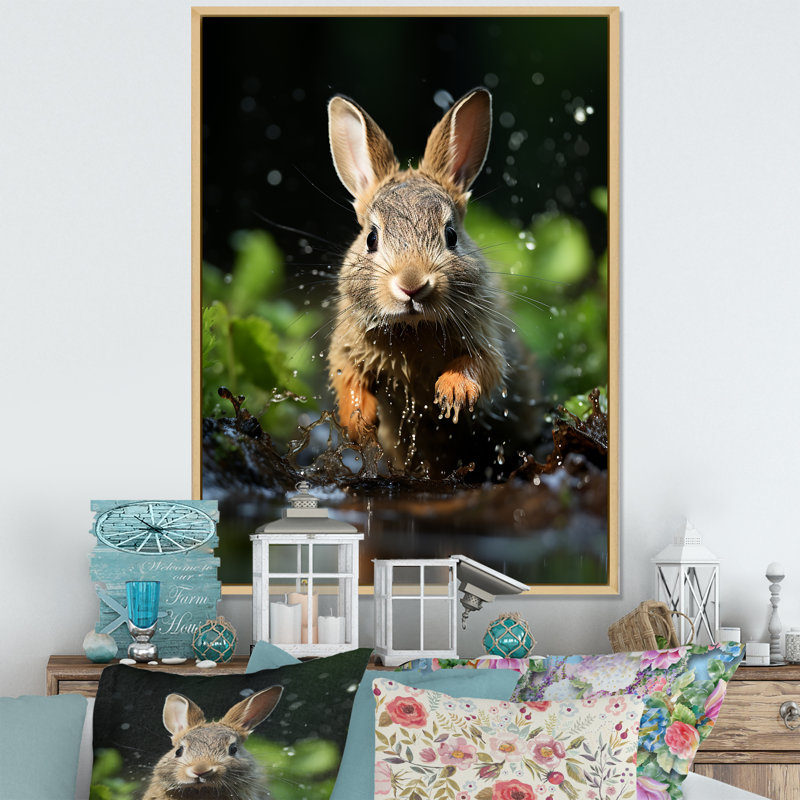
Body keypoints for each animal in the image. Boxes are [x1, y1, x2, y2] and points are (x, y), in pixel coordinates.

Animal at [327, 88, 542, 478]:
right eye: (371, 239)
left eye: (451, 235)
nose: (411, 285)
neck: (415, 327)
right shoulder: (347, 346)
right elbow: (347, 377)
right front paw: (358, 420)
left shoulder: (486, 337)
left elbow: (484, 367)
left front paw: (452, 393)